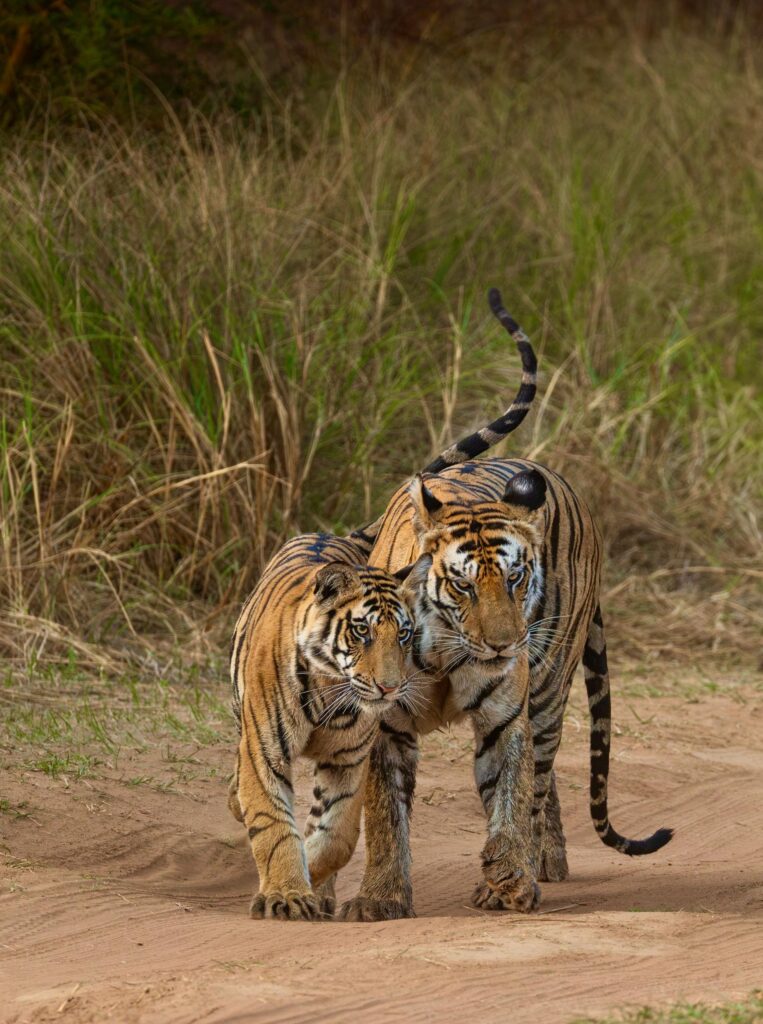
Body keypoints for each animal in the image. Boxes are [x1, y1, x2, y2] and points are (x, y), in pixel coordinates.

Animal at [228, 287, 540, 920]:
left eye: (405, 635)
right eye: (363, 634)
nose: (392, 686)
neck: (330, 692)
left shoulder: (352, 757)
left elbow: (340, 832)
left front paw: (314, 878)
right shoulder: (265, 752)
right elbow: (275, 821)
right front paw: (289, 894)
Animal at [339, 291, 674, 922]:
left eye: (517, 580)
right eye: (463, 586)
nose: (504, 643)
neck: (442, 654)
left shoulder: (504, 714)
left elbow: (510, 796)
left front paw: (508, 878)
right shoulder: (385, 724)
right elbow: (385, 814)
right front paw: (380, 897)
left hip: (546, 687)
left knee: (542, 773)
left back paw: (541, 862)